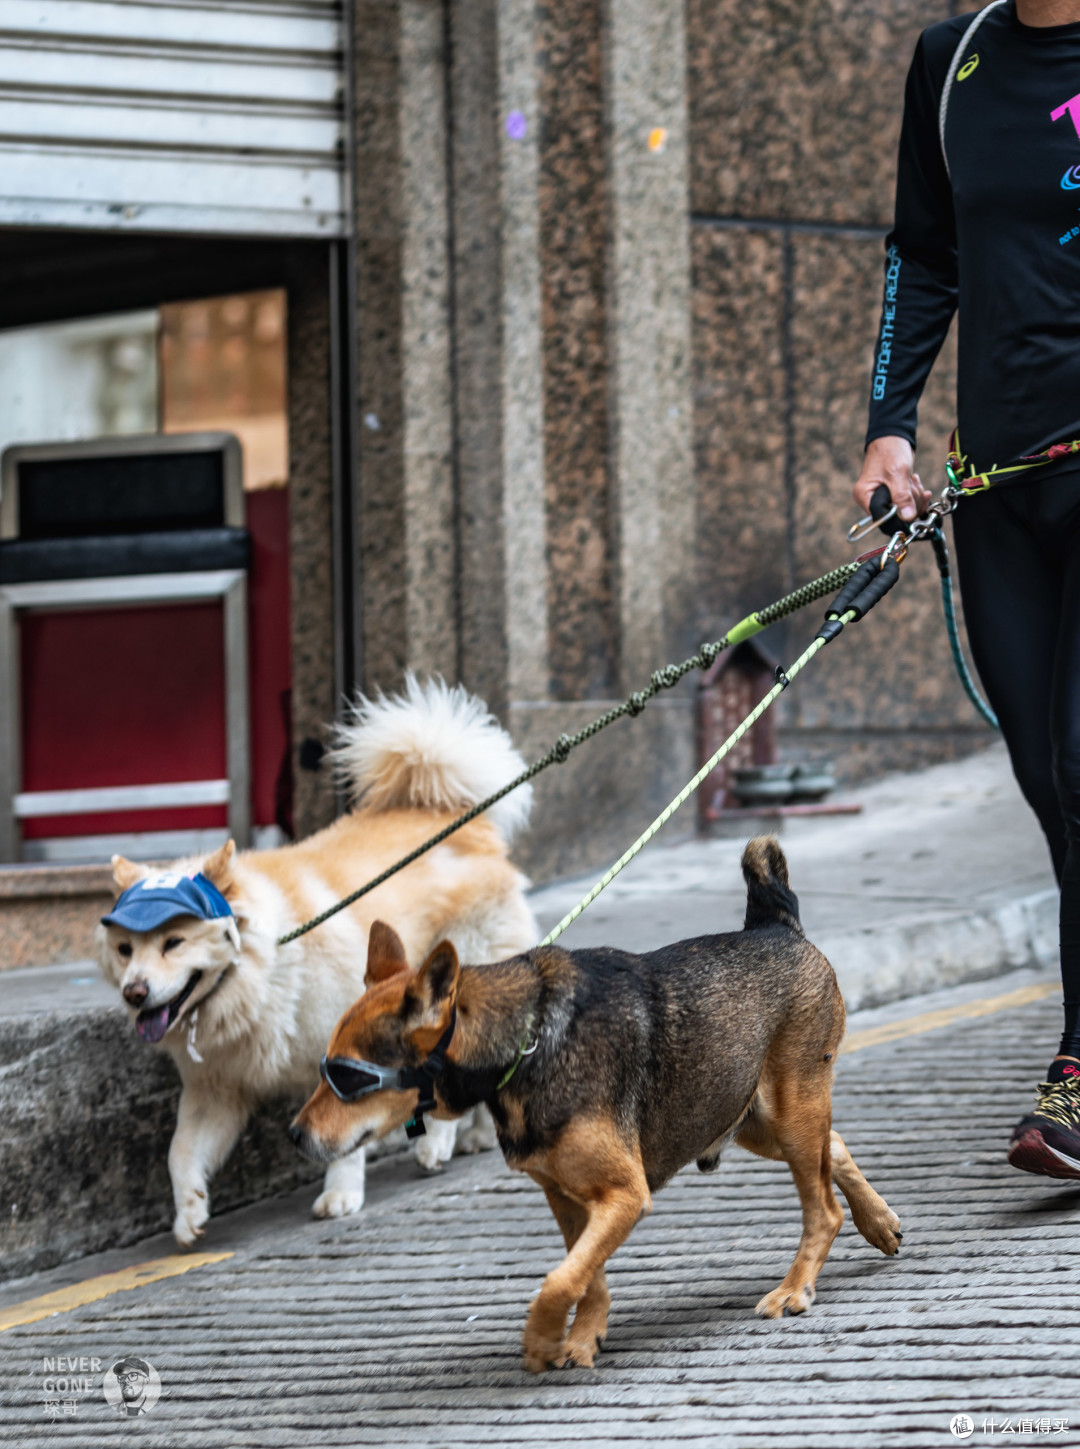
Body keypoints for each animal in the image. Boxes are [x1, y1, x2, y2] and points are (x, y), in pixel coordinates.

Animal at [291, 840, 898, 1367]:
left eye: (347, 1077)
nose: (294, 1135)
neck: (526, 1042)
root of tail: (774, 926)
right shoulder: (570, 1199)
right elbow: (586, 1277)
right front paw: (583, 1338)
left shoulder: (623, 1195)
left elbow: (559, 1279)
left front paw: (540, 1339)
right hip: (746, 1115)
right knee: (834, 1147)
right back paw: (878, 1222)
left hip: (788, 1113)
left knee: (822, 1206)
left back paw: (796, 1288)